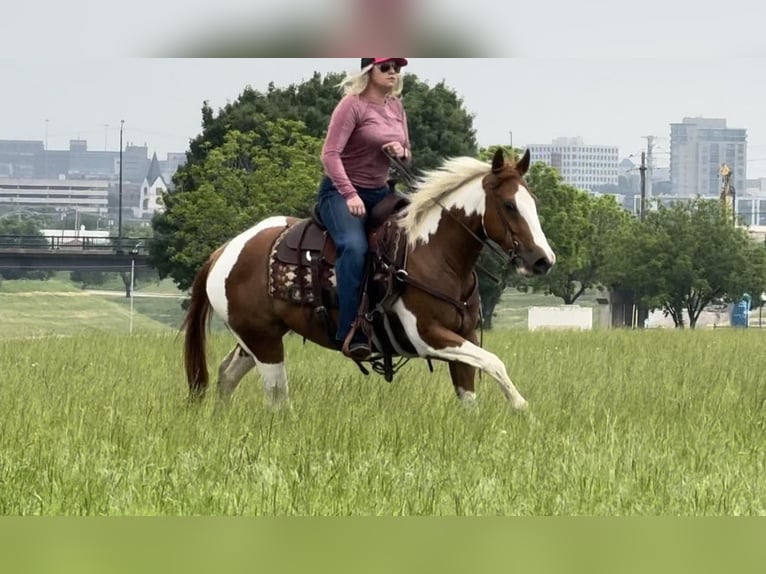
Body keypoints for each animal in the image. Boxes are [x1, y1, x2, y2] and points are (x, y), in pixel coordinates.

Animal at [183, 148, 556, 410]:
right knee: (276, 397)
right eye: (508, 205)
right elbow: (495, 363)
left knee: (227, 374)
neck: (433, 252)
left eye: (534, 202)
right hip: (264, 341)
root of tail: (225, 250)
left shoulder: (464, 336)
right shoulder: (429, 335)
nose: (543, 260)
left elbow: (470, 394)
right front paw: (522, 407)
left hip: (257, 337)